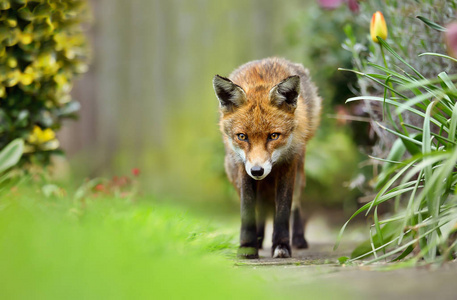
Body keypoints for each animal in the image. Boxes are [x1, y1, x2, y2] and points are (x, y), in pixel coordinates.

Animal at [213, 58, 320, 258]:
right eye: (242, 136)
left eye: (273, 136)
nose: (257, 170)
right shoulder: (243, 167)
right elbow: (248, 209)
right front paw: (247, 246)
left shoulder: (288, 163)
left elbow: (283, 210)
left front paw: (281, 245)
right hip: (231, 170)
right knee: (260, 208)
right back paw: (259, 238)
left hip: (300, 175)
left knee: (296, 205)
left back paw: (298, 239)